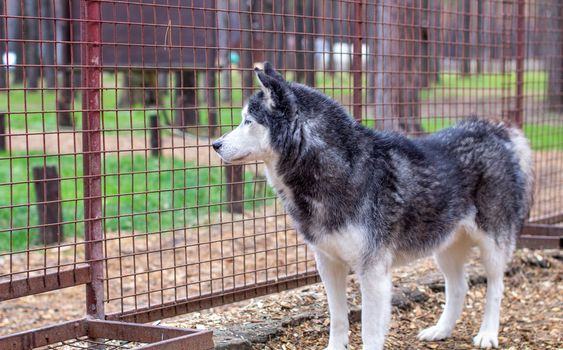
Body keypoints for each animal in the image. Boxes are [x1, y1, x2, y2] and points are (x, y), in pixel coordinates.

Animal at [212, 63, 532, 350]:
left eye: (248, 121)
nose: (215, 144)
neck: (339, 170)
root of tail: (494, 131)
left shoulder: (373, 271)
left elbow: (369, 331)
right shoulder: (328, 265)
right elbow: (338, 319)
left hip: (492, 246)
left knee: (496, 287)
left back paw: (487, 334)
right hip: (444, 248)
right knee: (459, 287)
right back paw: (440, 331)